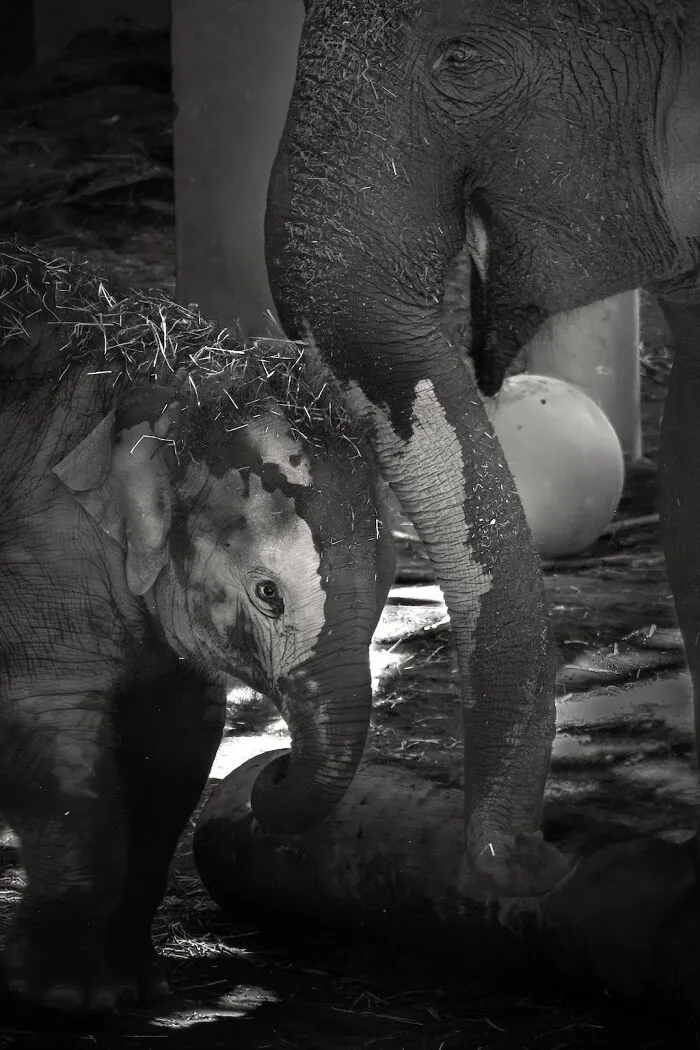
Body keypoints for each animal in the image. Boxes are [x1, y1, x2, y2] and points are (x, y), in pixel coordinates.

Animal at [0, 243, 395, 1011]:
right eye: (268, 594)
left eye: (394, 582)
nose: (272, 768)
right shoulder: (39, 563)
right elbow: (57, 747)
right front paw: (64, 1001)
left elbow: (175, 753)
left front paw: (142, 989)